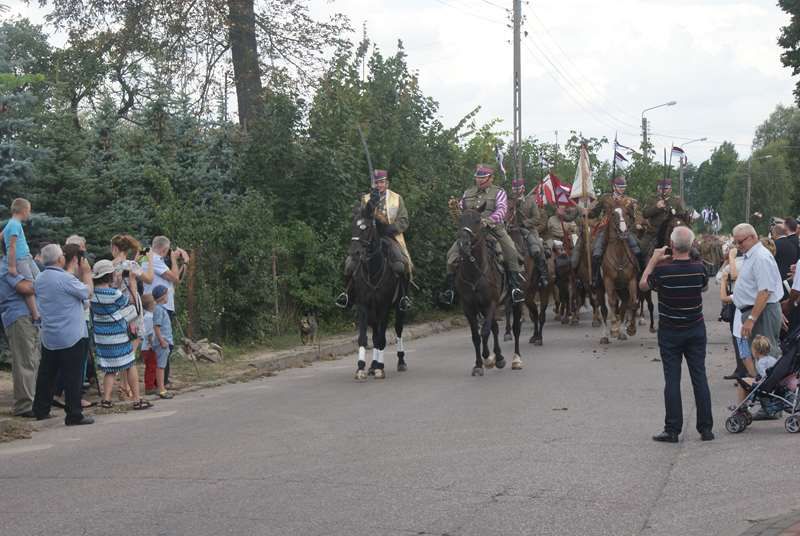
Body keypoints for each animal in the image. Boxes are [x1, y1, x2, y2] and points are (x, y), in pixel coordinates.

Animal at [348, 198, 407, 381]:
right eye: (353, 226)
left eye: (366, 228)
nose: (354, 253)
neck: (373, 271)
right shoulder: (363, 306)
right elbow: (364, 338)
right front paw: (361, 368)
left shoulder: (384, 307)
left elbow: (382, 338)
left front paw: (380, 368)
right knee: (374, 334)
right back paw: (372, 366)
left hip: (399, 308)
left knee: (398, 329)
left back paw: (400, 362)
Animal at [455, 207, 521, 376]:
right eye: (460, 220)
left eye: (478, 220)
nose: (463, 245)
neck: (474, 272)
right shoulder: (469, 308)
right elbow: (476, 336)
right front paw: (479, 364)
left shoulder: (490, 303)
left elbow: (484, 332)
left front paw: (486, 357)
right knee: (495, 328)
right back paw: (498, 357)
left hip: (516, 302)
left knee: (516, 329)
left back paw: (516, 359)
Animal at [600, 207, 639, 342]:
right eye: (613, 214)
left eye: (627, 214)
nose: (623, 232)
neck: (619, 255)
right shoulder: (608, 281)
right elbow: (611, 303)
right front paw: (614, 327)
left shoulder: (632, 280)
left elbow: (633, 302)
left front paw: (631, 329)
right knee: (604, 308)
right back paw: (606, 335)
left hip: (623, 289)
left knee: (624, 306)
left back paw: (621, 332)